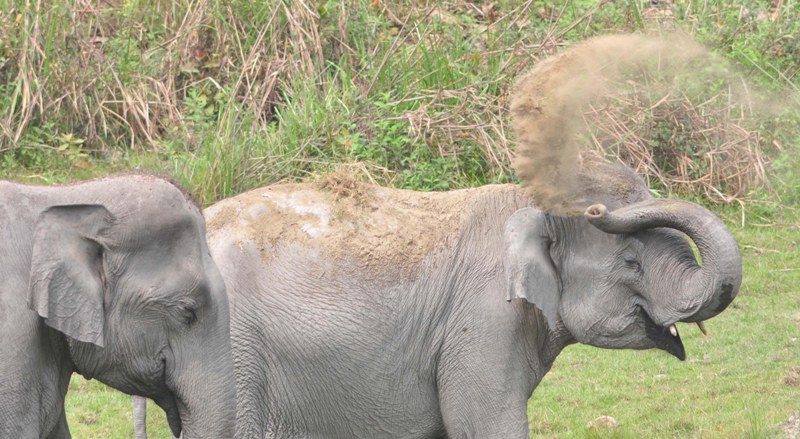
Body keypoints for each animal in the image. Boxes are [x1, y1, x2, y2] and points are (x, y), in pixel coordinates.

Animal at [132, 163, 741, 438]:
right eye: (631, 263)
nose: (597, 208)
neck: (524, 201)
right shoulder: (485, 318)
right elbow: (486, 424)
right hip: (231, 354)